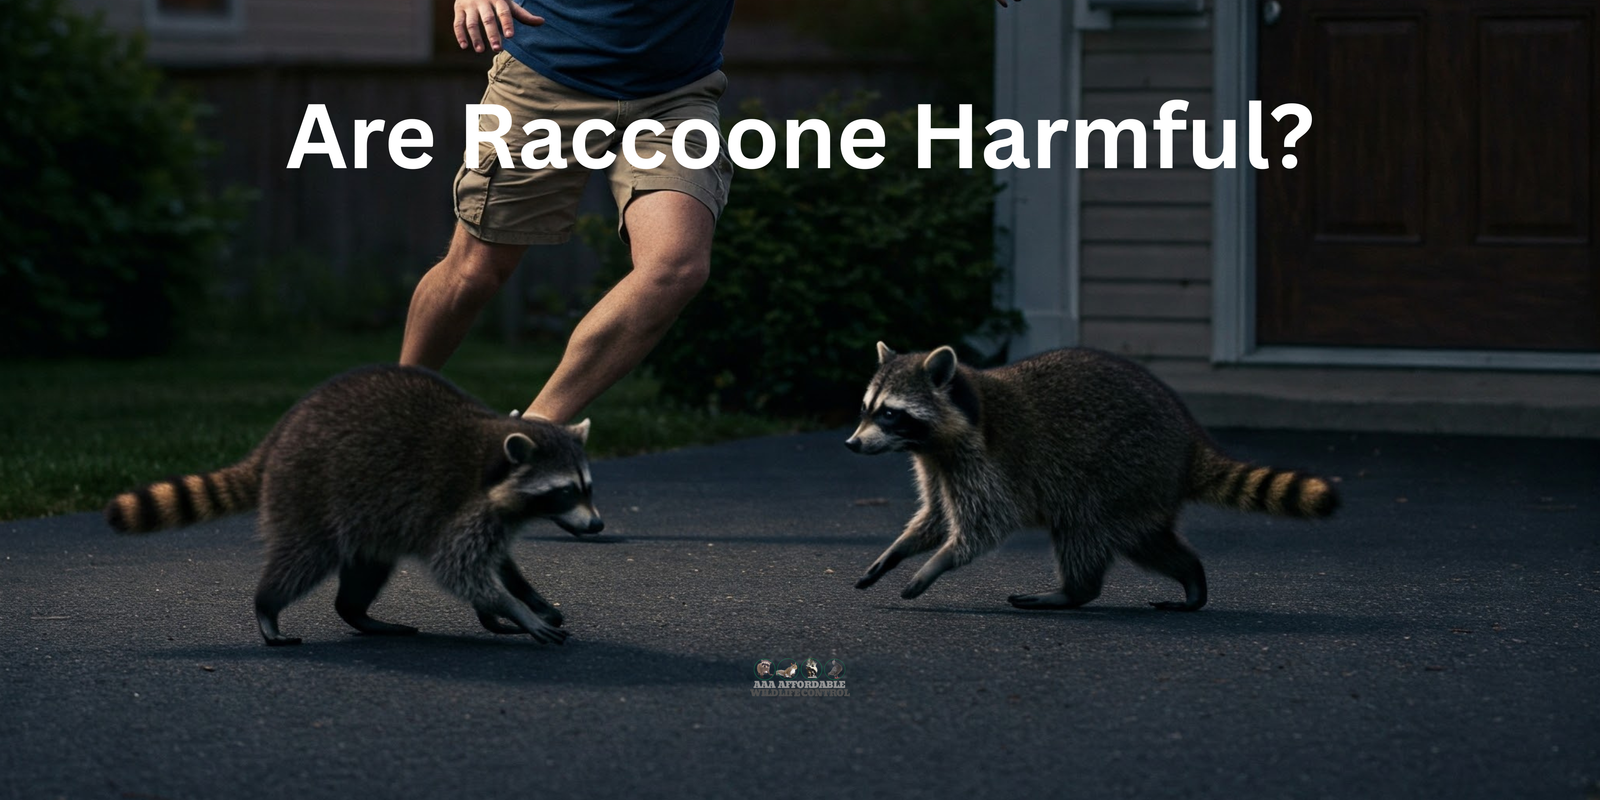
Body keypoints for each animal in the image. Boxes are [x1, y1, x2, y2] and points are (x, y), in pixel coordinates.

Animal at [104, 364, 602, 647]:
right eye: (565, 491)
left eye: (588, 488)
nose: (596, 526)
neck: (492, 457)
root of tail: (280, 434)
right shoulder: (458, 507)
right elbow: (459, 569)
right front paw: (511, 608)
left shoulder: (494, 515)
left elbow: (498, 564)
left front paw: (522, 599)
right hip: (310, 491)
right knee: (303, 558)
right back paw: (268, 606)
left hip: (369, 516)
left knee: (367, 566)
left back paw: (356, 612)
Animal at [847, 343, 1338, 611]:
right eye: (866, 408)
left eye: (890, 413)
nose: (851, 444)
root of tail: (1188, 441)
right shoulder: (938, 465)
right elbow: (933, 517)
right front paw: (897, 551)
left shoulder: (988, 464)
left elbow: (985, 526)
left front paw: (937, 563)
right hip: (1141, 491)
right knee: (1147, 539)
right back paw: (1191, 575)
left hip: (1121, 469)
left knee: (1082, 528)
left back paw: (1073, 592)